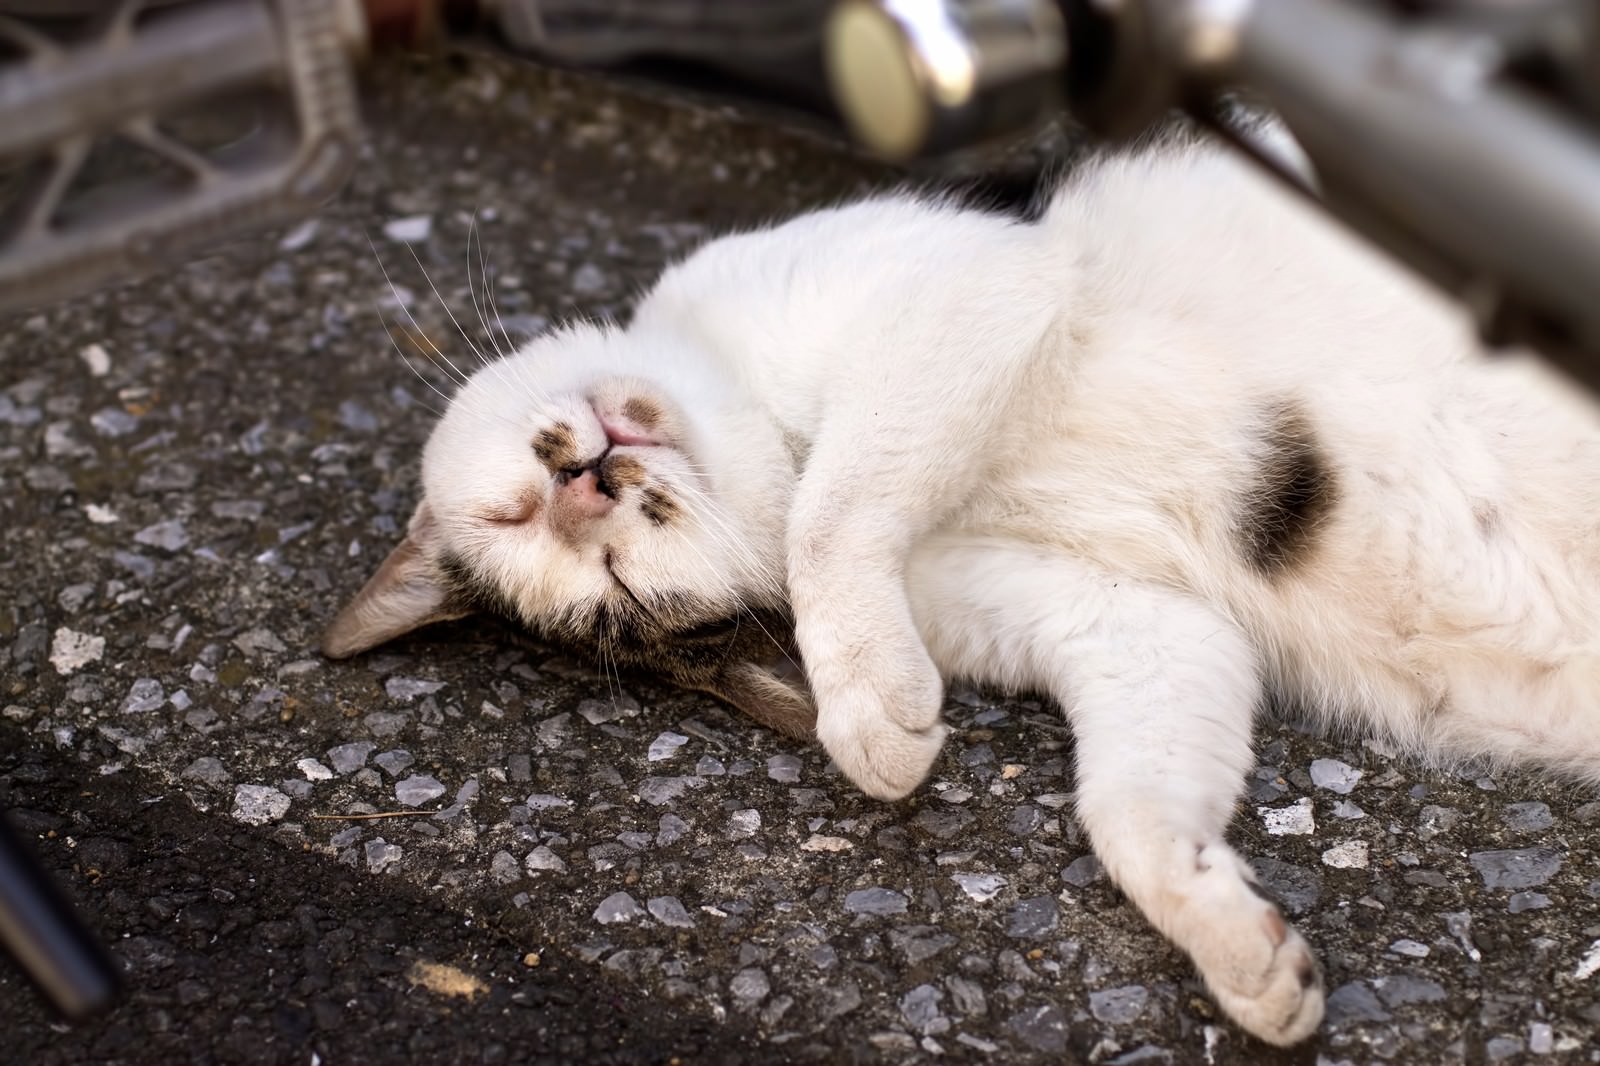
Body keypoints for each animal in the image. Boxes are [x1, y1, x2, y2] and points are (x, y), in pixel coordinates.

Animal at [318, 135, 1600, 1043]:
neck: (777, 430)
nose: (585, 487)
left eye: (516, 511)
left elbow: (830, 518)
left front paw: (862, 707)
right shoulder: (1122, 616)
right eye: (616, 587)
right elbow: (1129, 803)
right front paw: (1231, 939)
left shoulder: (969, 276)